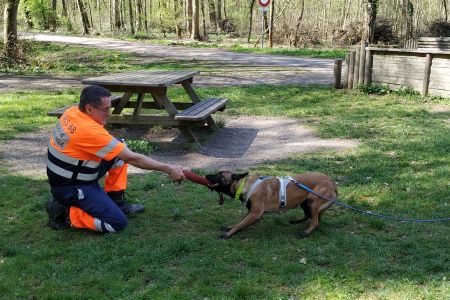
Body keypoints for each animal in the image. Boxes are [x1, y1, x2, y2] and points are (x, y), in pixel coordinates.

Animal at [205, 171, 338, 239]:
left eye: (220, 175)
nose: (206, 175)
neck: (244, 185)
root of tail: (332, 183)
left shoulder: (255, 214)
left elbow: (240, 224)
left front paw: (228, 233)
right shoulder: (250, 212)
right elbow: (239, 221)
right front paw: (229, 227)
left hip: (313, 202)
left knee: (315, 221)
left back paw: (306, 232)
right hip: (305, 202)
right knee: (308, 216)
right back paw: (296, 221)